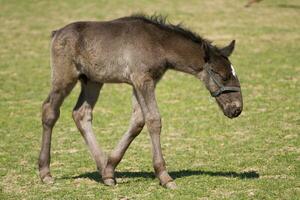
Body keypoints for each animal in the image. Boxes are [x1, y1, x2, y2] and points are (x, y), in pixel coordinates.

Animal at [38, 14, 244, 188]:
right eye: (222, 75)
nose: (237, 109)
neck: (158, 43)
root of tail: (57, 33)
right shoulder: (142, 80)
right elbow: (153, 120)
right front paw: (164, 176)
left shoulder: (143, 82)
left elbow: (138, 122)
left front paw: (110, 168)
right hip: (65, 77)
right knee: (50, 110)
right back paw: (45, 172)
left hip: (92, 81)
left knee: (81, 114)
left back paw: (103, 170)